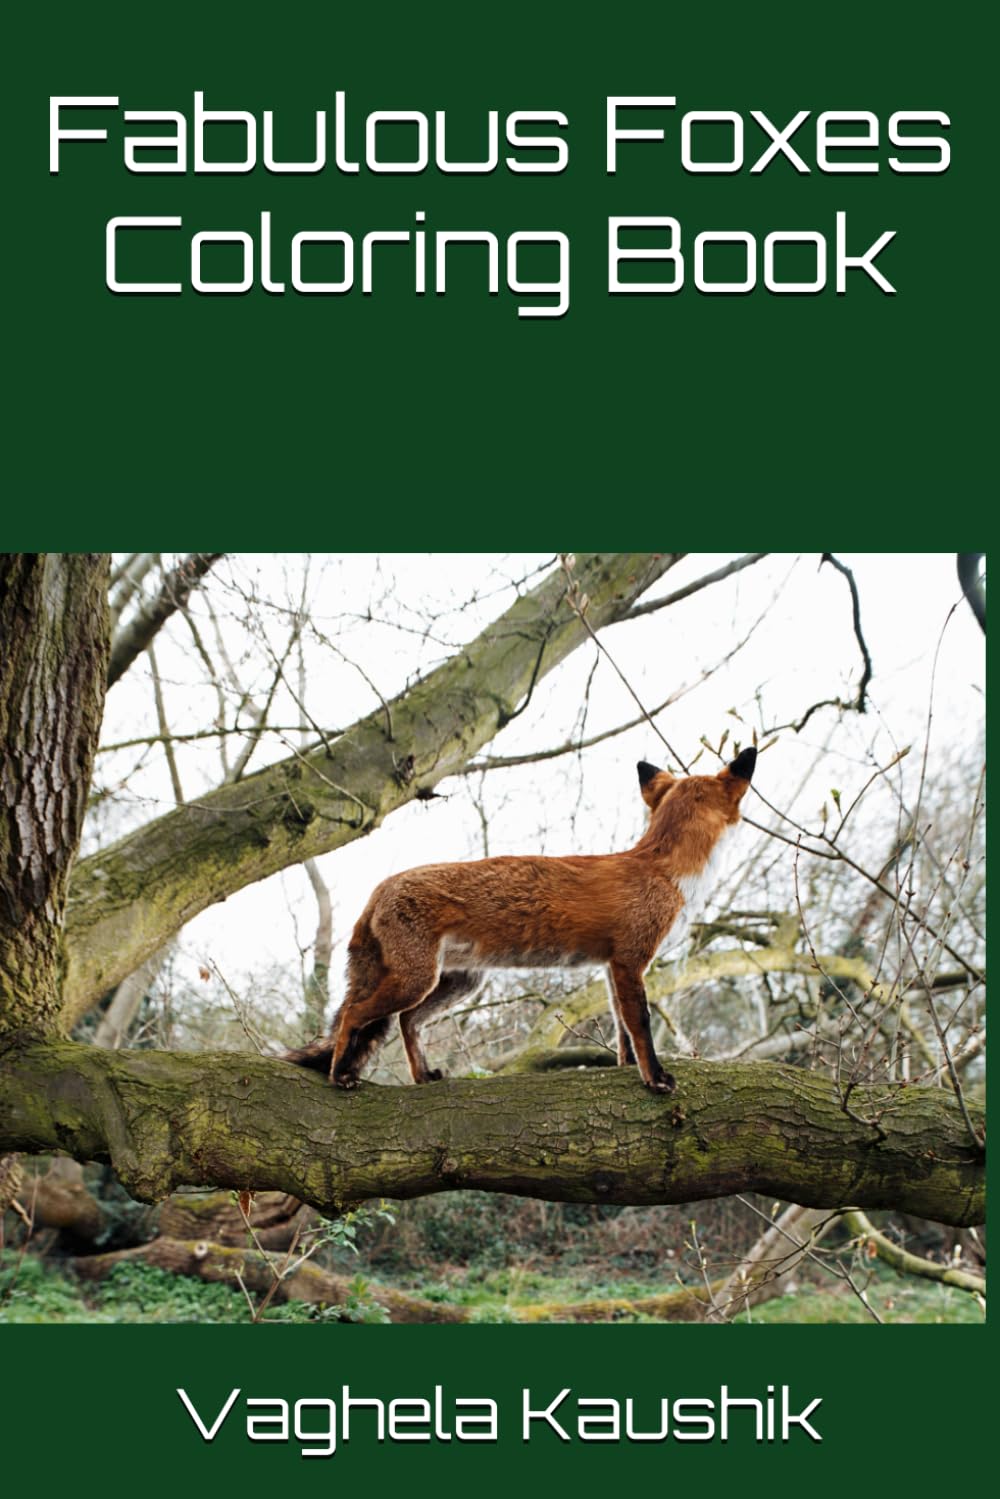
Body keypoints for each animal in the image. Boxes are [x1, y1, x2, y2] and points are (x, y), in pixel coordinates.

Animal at [283, 746, 757, 1092]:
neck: (662, 869)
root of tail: (379, 889)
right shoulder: (630, 961)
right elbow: (640, 1025)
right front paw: (654, 1079)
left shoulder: (612, 967)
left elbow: (623, 1033)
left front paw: (627, 1069)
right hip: (415, 980)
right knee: (352, 1014)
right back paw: (339, 1075)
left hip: (456, 983)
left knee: (404, 1021)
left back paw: (422, 1076)